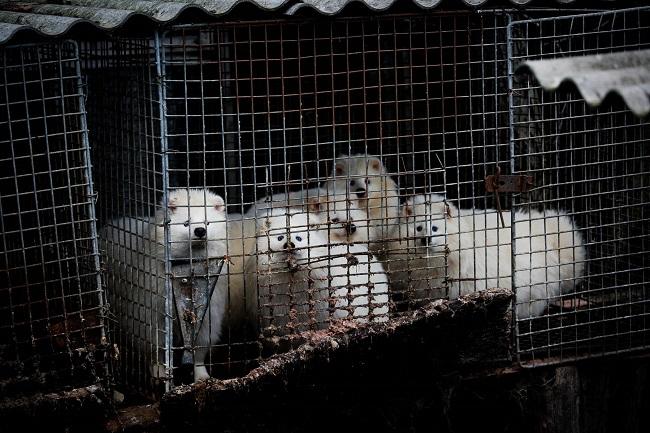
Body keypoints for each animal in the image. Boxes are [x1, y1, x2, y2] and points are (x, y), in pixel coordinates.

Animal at [100, 189, 229, 382]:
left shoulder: (209, 308)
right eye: (186, 222)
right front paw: (159, 370)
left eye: (208, 221)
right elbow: (155, 343)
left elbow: (200, 343)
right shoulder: (149, 309)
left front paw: (201, 374)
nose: (200, 230)